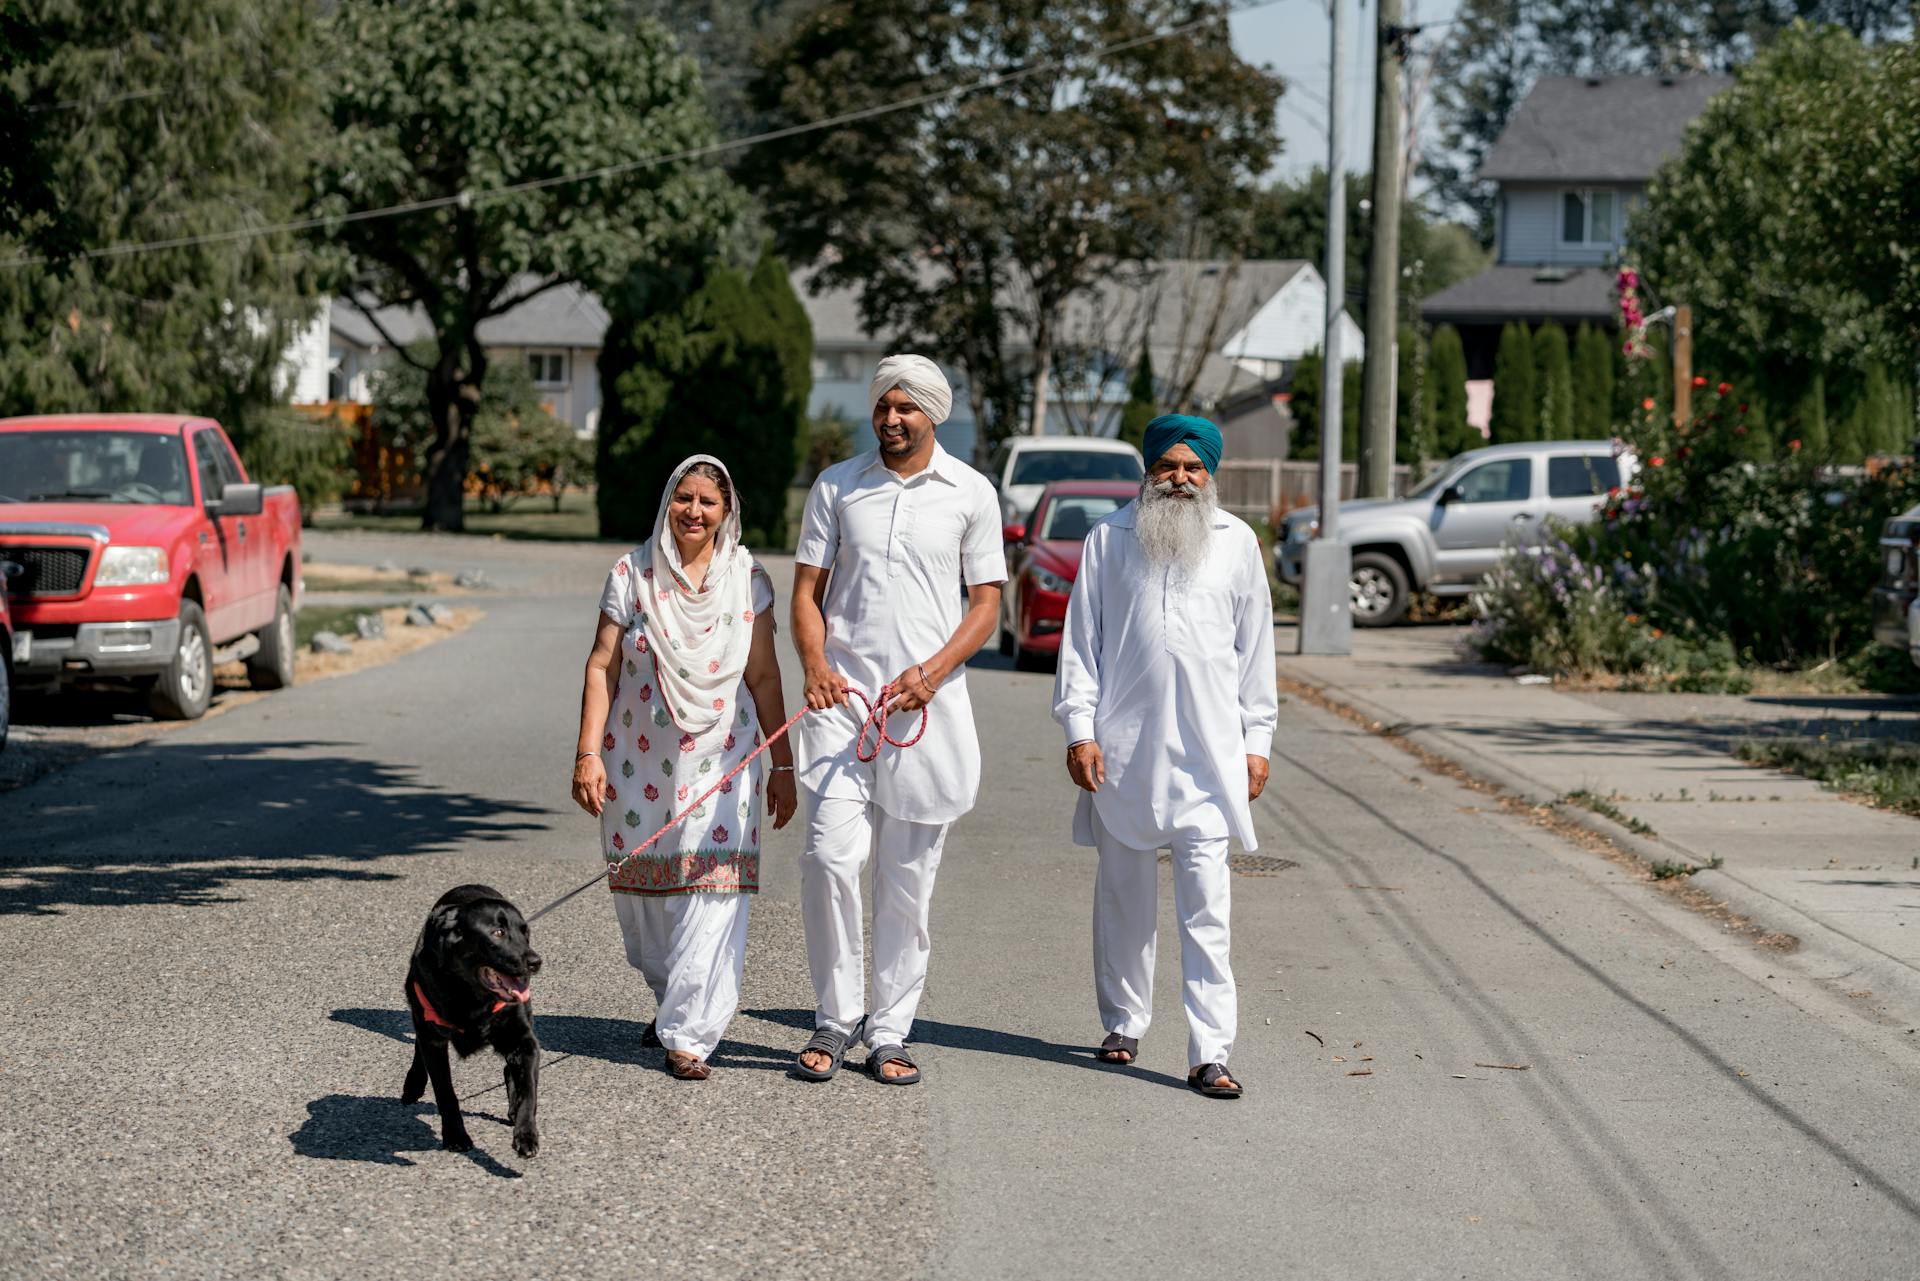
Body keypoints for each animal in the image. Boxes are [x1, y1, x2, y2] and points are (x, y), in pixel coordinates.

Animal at [401, 887, 545, 1160]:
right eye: (498, 932)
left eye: (526, 933)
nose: (535, 962)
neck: (472, 996)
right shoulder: (434, 1041)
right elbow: (445, 1092)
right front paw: (455, 1136)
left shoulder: (525, 1041)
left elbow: (529, 1092)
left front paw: (525, 1134)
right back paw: (413, 1084)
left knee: (510, 1069)